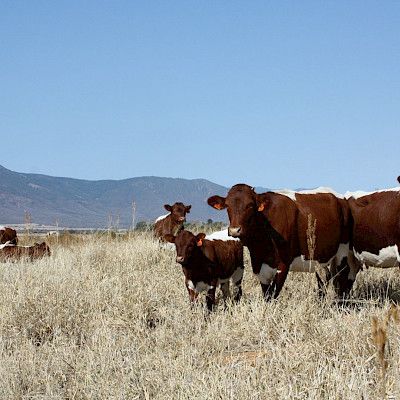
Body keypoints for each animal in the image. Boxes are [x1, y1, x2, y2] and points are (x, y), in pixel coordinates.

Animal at [208, 184, 352, 300]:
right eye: (227, 206)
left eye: (250, 205)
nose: (234, 230)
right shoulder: (260, 265)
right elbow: (267, 294)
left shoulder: (283, 264)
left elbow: (274, 293)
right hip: (320, 259)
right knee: (324, 279)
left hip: (342, 251)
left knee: (343, 276)